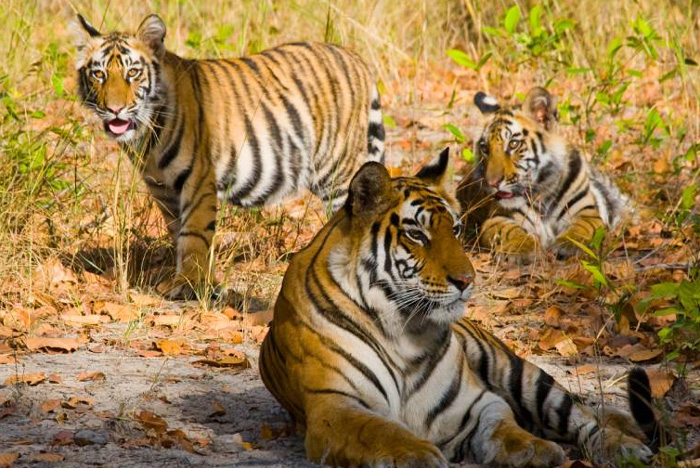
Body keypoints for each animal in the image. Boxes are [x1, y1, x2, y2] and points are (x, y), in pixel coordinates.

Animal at [73, 14, 385, 298]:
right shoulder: (162, 189)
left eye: (133, 73)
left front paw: (188, 284)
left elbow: (194, 234)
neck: (146, 135)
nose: (114, 110)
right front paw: (205, 282)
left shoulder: (198, 179)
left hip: (337, 171)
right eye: (99, 74)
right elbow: (178, 232)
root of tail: (354, 57)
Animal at [259, 148, 655, 467]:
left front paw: (533, 449)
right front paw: (416, 453)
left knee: (584, 417)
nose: (467, 280)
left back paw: (624, 447)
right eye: (416, 234)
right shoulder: (336, 405)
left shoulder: (475, 402)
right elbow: (380, 430)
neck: (403, 331)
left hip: (522, 374)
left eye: (458, 229)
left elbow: (503, 427)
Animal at [457, 87, 630, 258]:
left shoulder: (586, 210)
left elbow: (583, 226)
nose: (492, 183)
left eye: (513, 144)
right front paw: (523, 249)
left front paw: (567, 244)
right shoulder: (498, 217)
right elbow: (510, 232)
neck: (542, 192)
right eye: (485, 148)